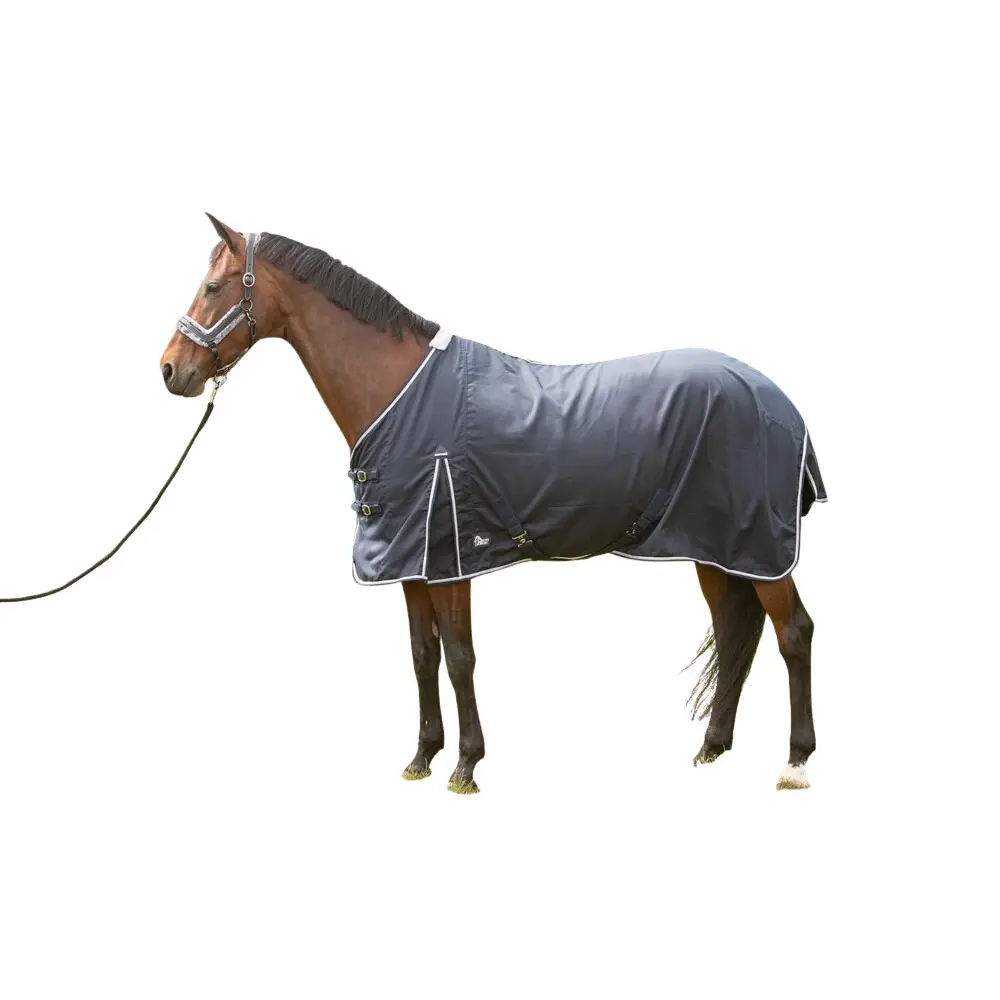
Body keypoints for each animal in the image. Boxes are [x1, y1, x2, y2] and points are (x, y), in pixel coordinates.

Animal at [160, 214, 827, 793]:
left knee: (793, 632)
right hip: (714, 547)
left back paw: (795, 761)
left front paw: (465, 766)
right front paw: (422, 757)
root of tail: (780, 402)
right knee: (734, 631)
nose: (170, 370)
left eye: (213, 287)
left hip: (761, 549)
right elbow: (422, 656)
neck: (400, 395)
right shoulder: (411, 562)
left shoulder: (450, 558)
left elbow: (459, 658)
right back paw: (711, 747)